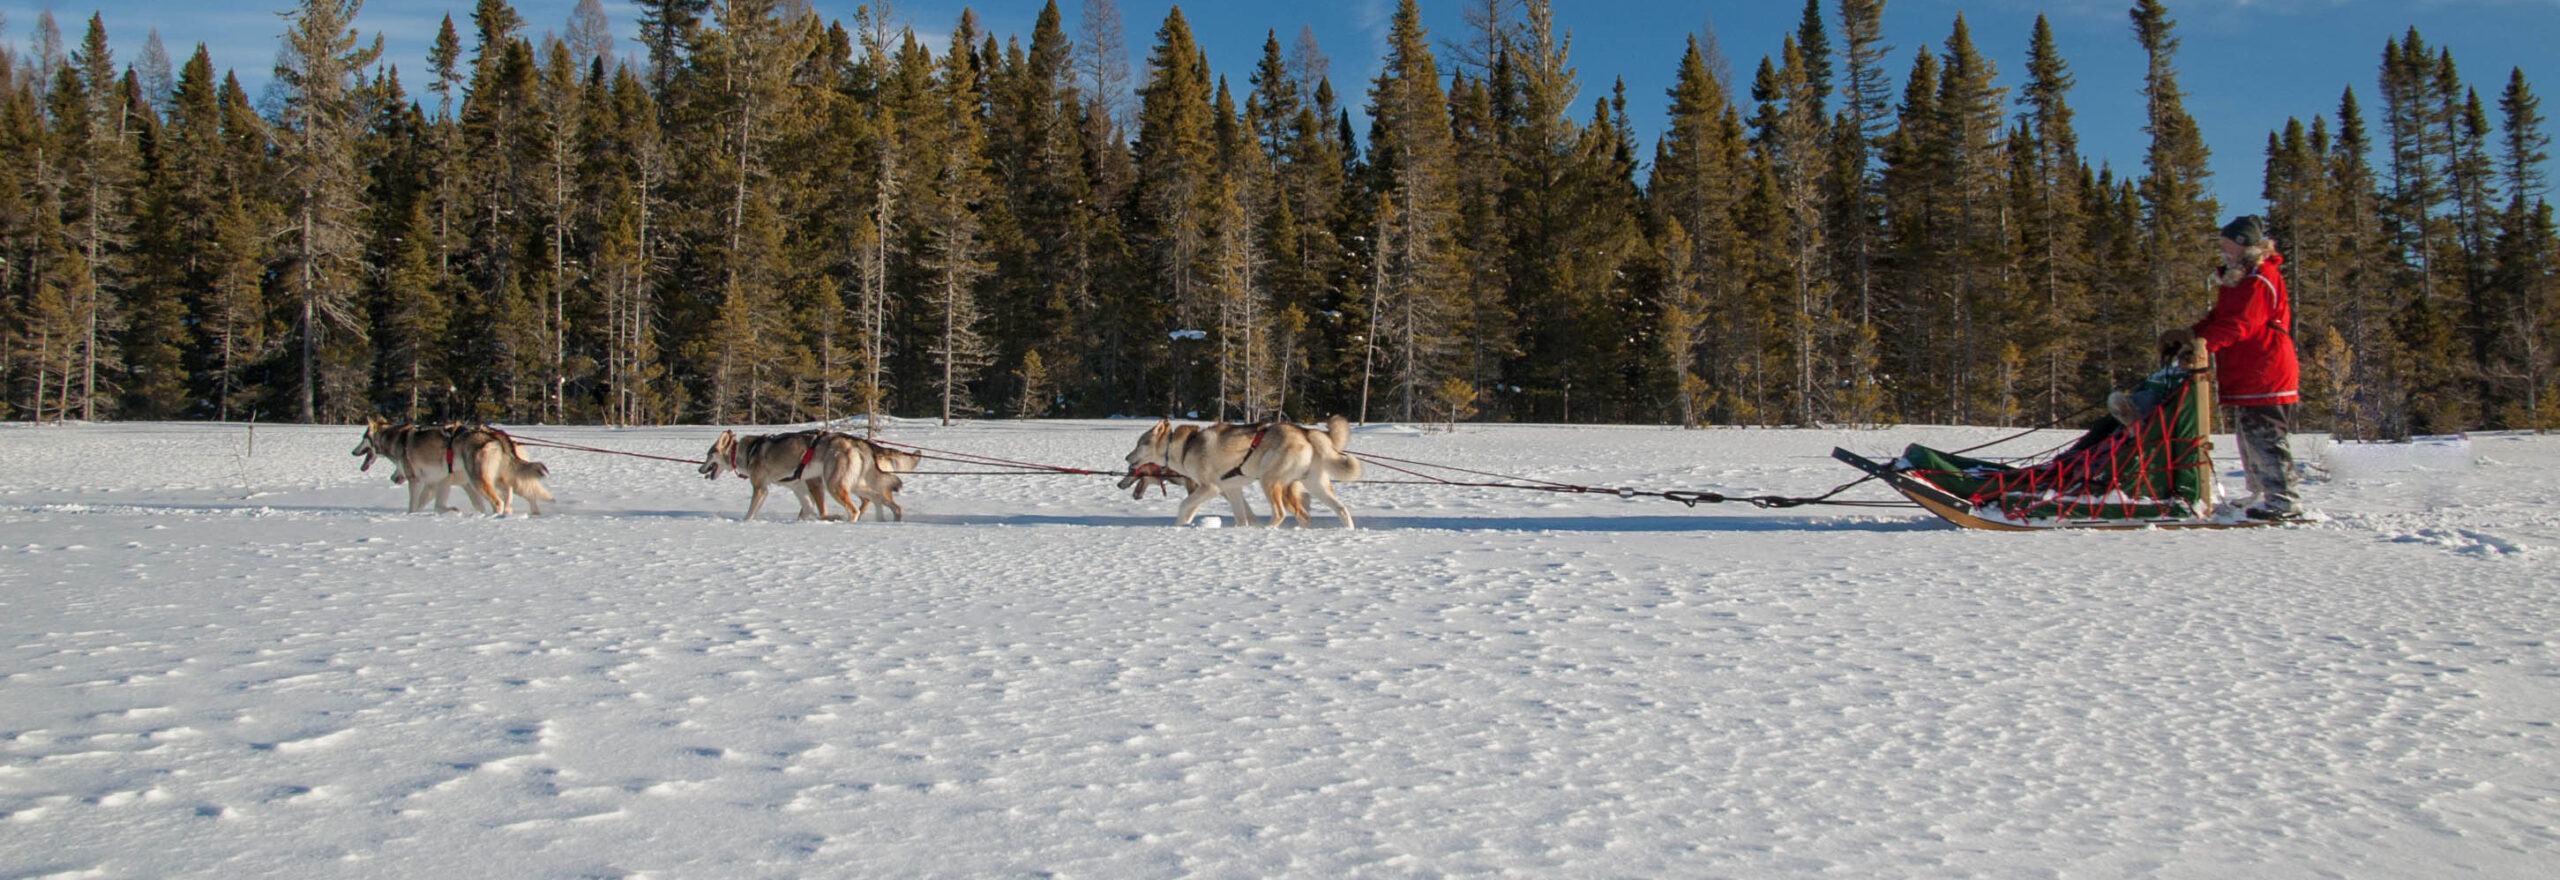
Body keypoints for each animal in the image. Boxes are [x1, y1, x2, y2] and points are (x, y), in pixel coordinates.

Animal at [1121, 414, 1361, 526]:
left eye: (1140, 443)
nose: (1127, 457)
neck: (1185, 447)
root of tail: (1306, 432)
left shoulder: (1210, 488)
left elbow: (1185, 505)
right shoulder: (1232, 490)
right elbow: (1241, 517)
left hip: (1269, 482)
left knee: (1280, 513)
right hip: (1315, 485)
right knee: (1340, 509)